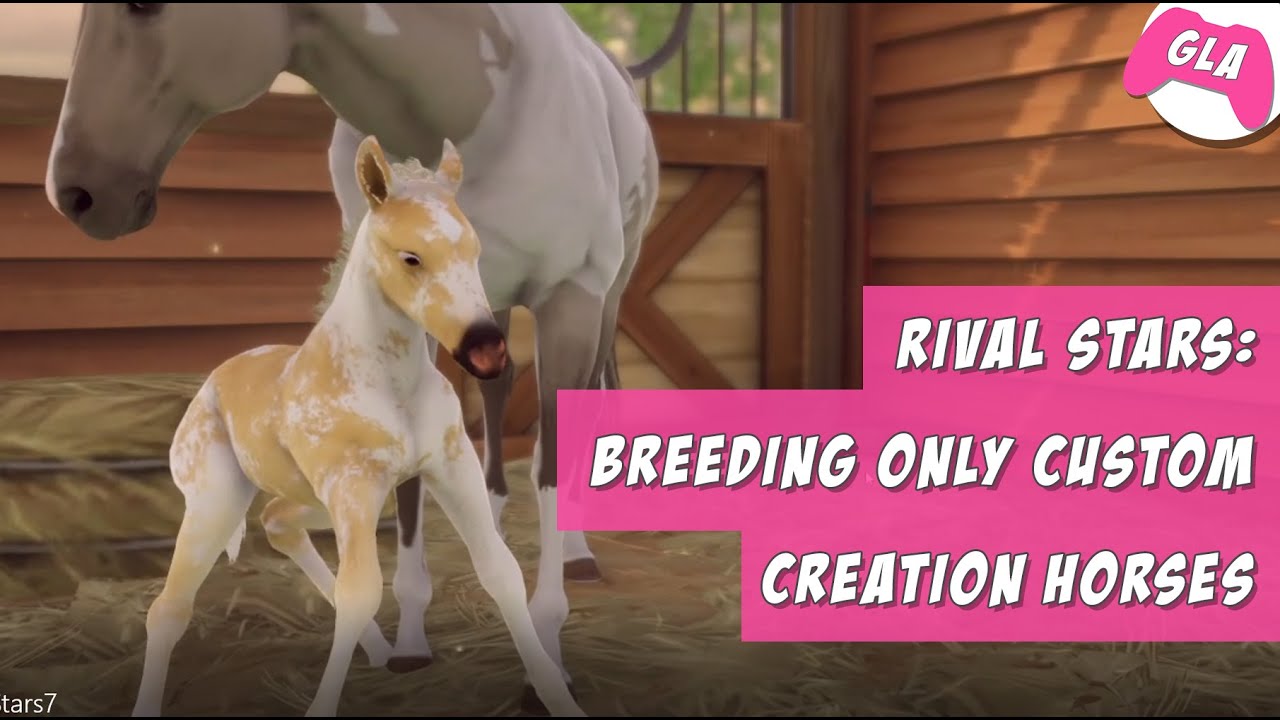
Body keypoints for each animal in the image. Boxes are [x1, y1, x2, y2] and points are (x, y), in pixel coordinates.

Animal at [132, 135, 584, 719]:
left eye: (476, 252)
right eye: (411, 257)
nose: (486, 349)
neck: (390, 382)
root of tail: (216, 376)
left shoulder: (450, 468)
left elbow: (499, 570)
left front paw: (557, 696)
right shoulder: (352, 485)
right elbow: (361, 591)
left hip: (317, 500)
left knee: (278, 522)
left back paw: (380, 649)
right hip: (219, 500)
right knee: (169, 608)